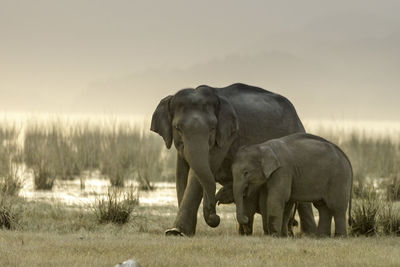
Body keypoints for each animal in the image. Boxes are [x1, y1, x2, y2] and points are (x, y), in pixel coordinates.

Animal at [150, 84, 316, 237]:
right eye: (178, 128)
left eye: (212, 128)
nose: (215, 217)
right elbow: (181, 174)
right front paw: (176, 231)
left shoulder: (226, 136)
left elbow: (197, 175)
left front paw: (176, 232)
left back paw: (309, 234)